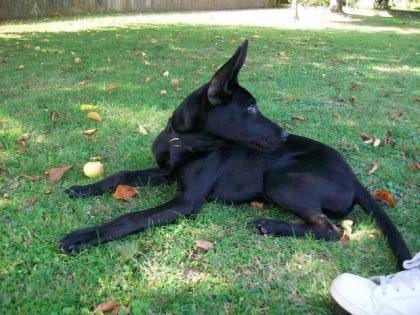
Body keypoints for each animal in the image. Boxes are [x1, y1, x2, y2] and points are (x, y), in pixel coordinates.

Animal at [60, 39, 412, 266]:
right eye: (252, 108)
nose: (285, 135)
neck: (183, 142)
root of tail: (354, 180)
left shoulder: (186, 202)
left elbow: (130, 217)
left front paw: (84, 236)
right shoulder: (164, 173)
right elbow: (121, 174)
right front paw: (83, 188)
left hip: (280, 180)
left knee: (331, 230)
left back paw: (271, 225)